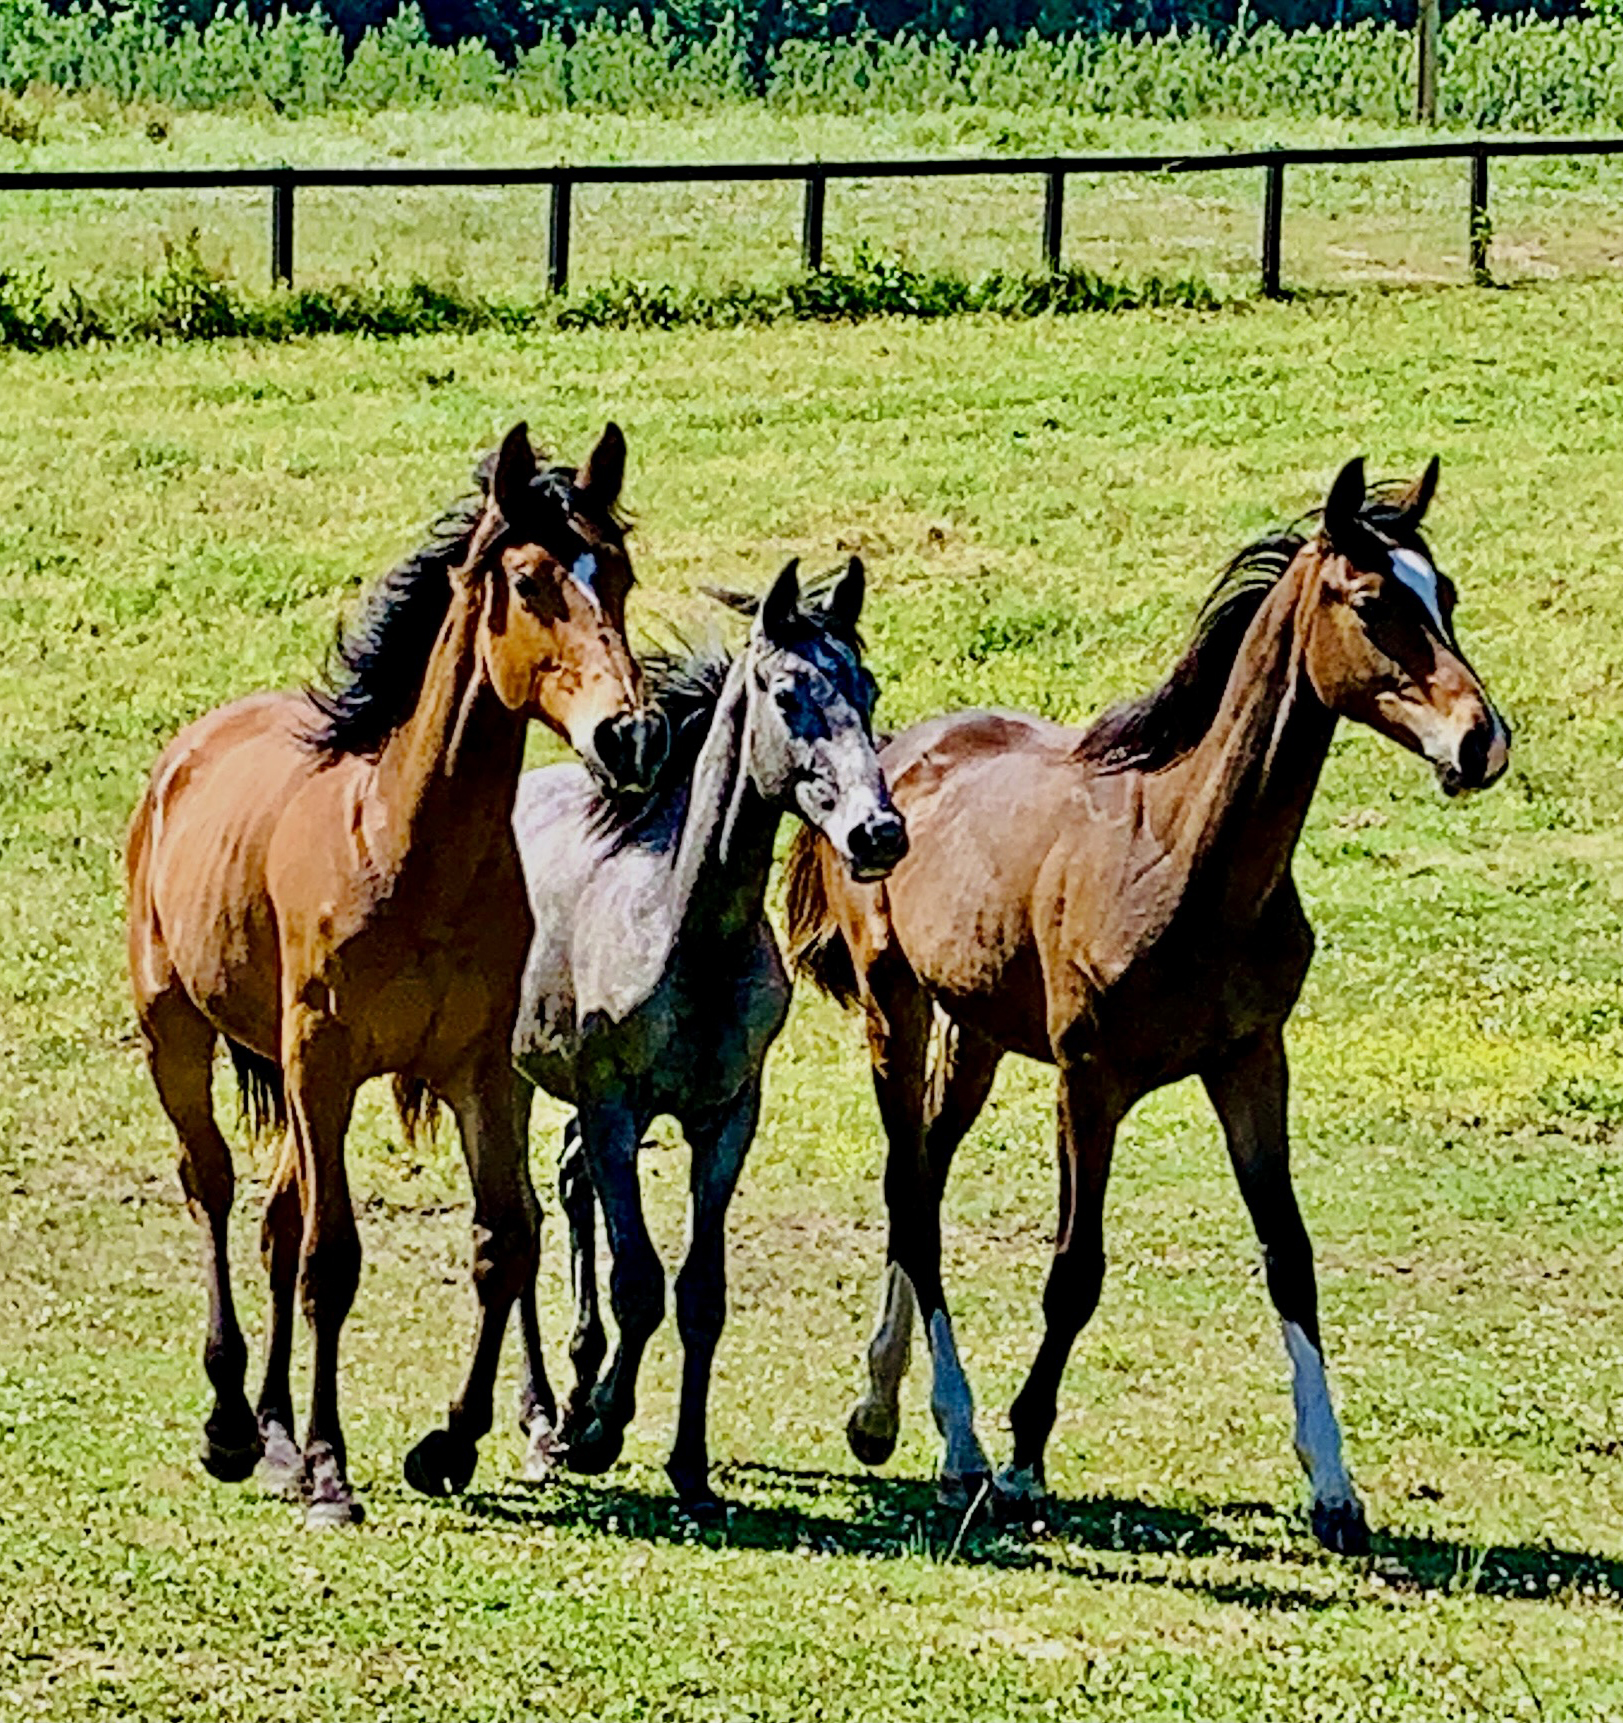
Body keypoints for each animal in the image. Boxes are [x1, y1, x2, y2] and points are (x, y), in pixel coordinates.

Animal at [124, 423, 665, 1530]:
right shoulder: (323, 1061)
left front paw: (447, 1443)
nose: (630, 735)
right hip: (181, 1040)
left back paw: (275, 1436)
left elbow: (504, 1241)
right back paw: (233, 1425)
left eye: (620, 574)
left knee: (276, 1219)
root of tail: (183, 758)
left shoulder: (477, 1073)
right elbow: (333, 1258)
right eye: (532, 580)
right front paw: (333, 1471)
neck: (406, 847)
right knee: (214, 1186)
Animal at [509, 558, 916, 1516]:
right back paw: (546, 1418)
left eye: (867, 686)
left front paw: (684, 1461)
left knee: (567, 1183)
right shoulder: (617, 1108)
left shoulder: (726, 1117)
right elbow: (638, 1279)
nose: (877, 833)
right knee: (522, 1218)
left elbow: (699, 1290)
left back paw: (575, 1388)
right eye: (787, 692)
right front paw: (599, 1432)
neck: (684, 932)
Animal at [789, 461, 1509, 1564]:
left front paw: (1335, 1490)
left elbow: (1290, 1259)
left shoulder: (1252, 1063)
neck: (1186, 858)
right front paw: (1022, 1462)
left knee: (925, 1181)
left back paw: (894, 1415)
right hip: (894, 1009)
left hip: (977, 1036)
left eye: (1450, 595)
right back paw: (944, 1439)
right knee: (908, 1191)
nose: (1481, 742)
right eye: (1372, 601)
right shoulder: (1091, 1082)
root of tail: (889, 760)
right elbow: (1074, 1269)